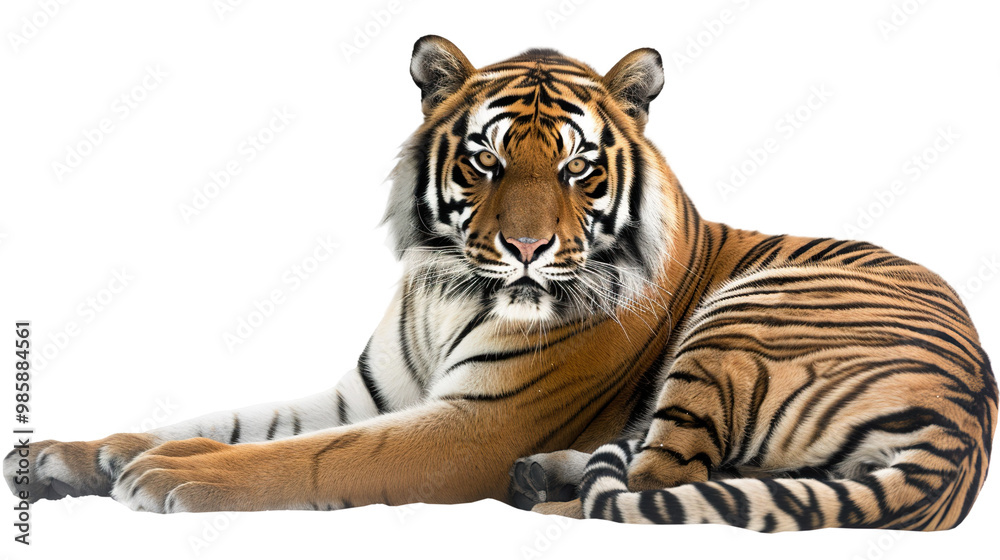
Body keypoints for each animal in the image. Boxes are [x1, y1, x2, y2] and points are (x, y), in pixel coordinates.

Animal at [4, 35, 996, 532]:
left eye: (577, 169)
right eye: (484, 160)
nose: (524, 248)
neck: (446, 290)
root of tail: (967, 432)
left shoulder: (477, 424)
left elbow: (304, 456)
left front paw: (167, 474)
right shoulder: (372, 392)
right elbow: (228, 420)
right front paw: (72, 454)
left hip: (748, 312)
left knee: (651, 490)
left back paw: (539, 495)